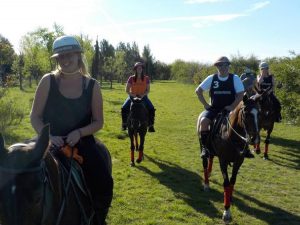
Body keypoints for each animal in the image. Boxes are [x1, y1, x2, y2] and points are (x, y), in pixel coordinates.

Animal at [197, 95, 260, 223]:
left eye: (259, 113)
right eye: (246, 113)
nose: (254, 138)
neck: (231, 135)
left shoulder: (238, 161)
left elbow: (233, 181)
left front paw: (230, 197)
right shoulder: (223, 161)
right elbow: (226, 183)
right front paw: (226, 211)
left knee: (211, 158)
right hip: (203, 145)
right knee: (205, 163)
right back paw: (206, 184)